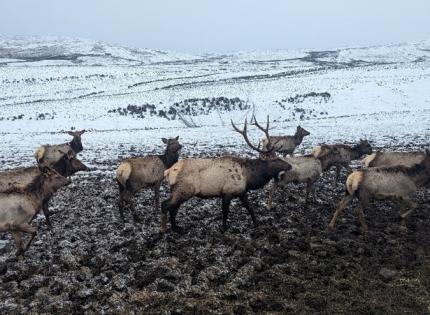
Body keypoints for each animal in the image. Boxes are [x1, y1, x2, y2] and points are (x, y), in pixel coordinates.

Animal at [161, 116, 292, 235]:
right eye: (274, 160)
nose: (289, 166)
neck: (249, 178)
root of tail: (168, 171)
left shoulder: (241, 192)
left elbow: (250, 208)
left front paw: (256, 224)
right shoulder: (227, 191)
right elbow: (225, 211)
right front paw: (223, 229)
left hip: (180, 191)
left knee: (173, 208)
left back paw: (176, 228)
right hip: (184, 189)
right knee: (166, 205)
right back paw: (165, 229)